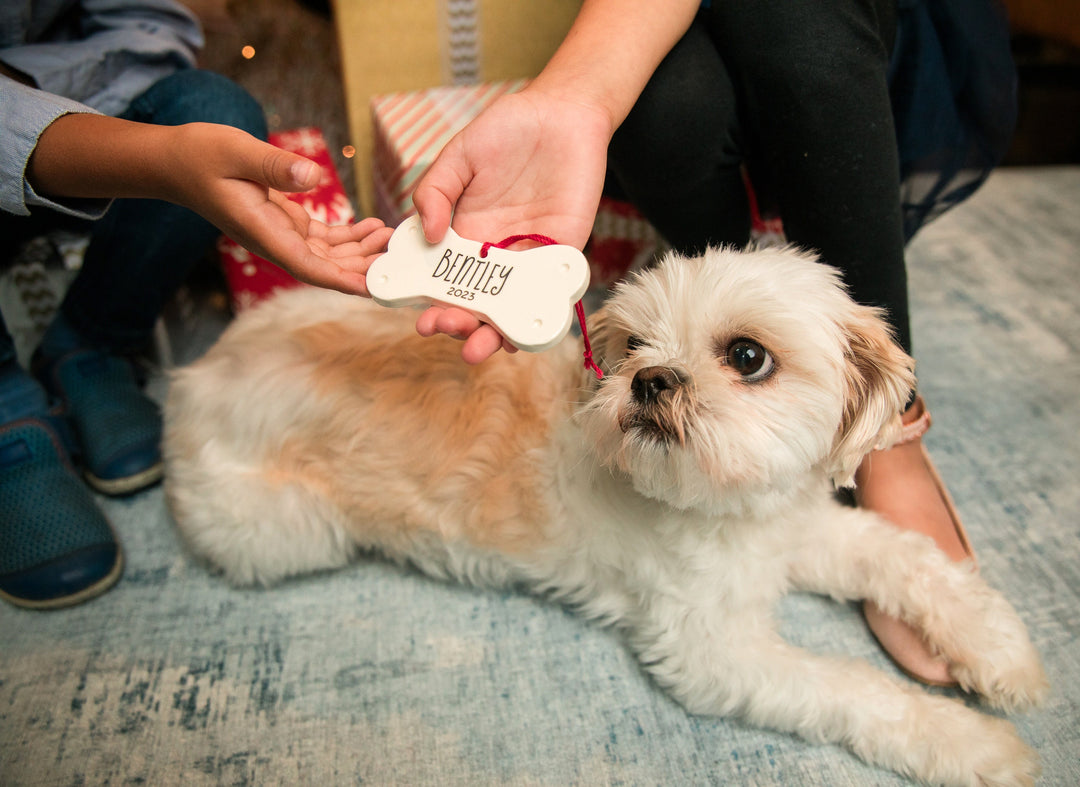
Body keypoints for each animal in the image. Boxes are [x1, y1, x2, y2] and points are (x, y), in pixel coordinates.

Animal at [162, 247, 1045, 785]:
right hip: (278, 531)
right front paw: (973, 741)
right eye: (633, 346)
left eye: (748, 356)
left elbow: (910, 558)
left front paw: (1001, 650)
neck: (731, 514)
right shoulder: (710, 648)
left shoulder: (800, 529)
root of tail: (198, 371)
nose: (650, 379)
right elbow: (856, 686)